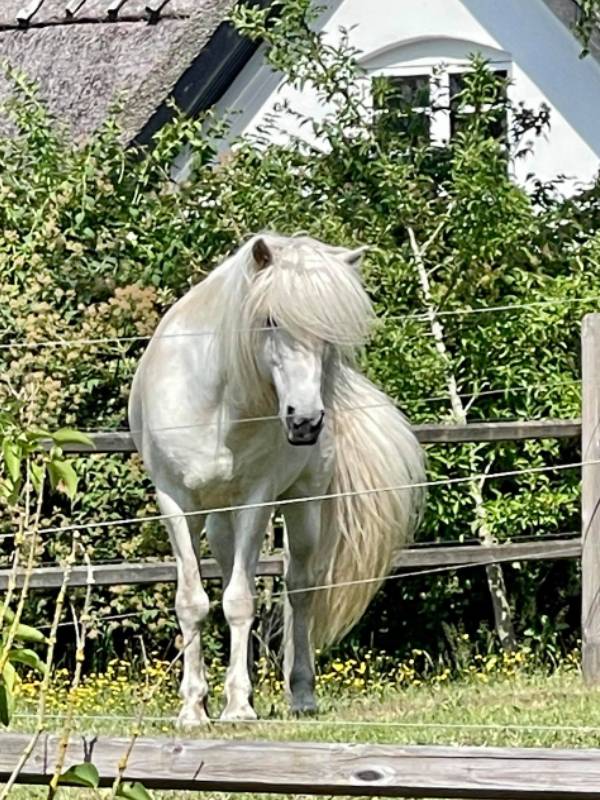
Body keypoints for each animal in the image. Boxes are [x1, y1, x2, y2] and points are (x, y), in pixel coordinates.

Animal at [129, 233, 424, 724]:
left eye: (330, 332)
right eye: (270, 319)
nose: (305, 421)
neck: (217, 406)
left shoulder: (257, 500)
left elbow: (240, 600)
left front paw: (238, 707)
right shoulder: (175, 502)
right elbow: (193, 601)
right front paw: (193, 706)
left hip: (303, 507)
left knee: (299, 590)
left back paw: (300, 693)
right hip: (219, 519)